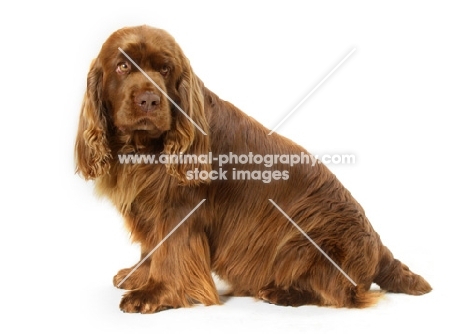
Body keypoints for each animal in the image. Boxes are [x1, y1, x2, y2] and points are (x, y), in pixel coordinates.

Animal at [75, 24, 430, 314]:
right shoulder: (150, 209)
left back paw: (281, 292)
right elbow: (151, 248)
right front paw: (138, 276)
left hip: (305, 242)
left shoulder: (180, 211)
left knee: (341, 293)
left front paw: (155, 293)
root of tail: (380, 248)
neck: (144, 148)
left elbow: (171, 254)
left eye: (165, 68)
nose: (149, 100)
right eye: (122, 66)